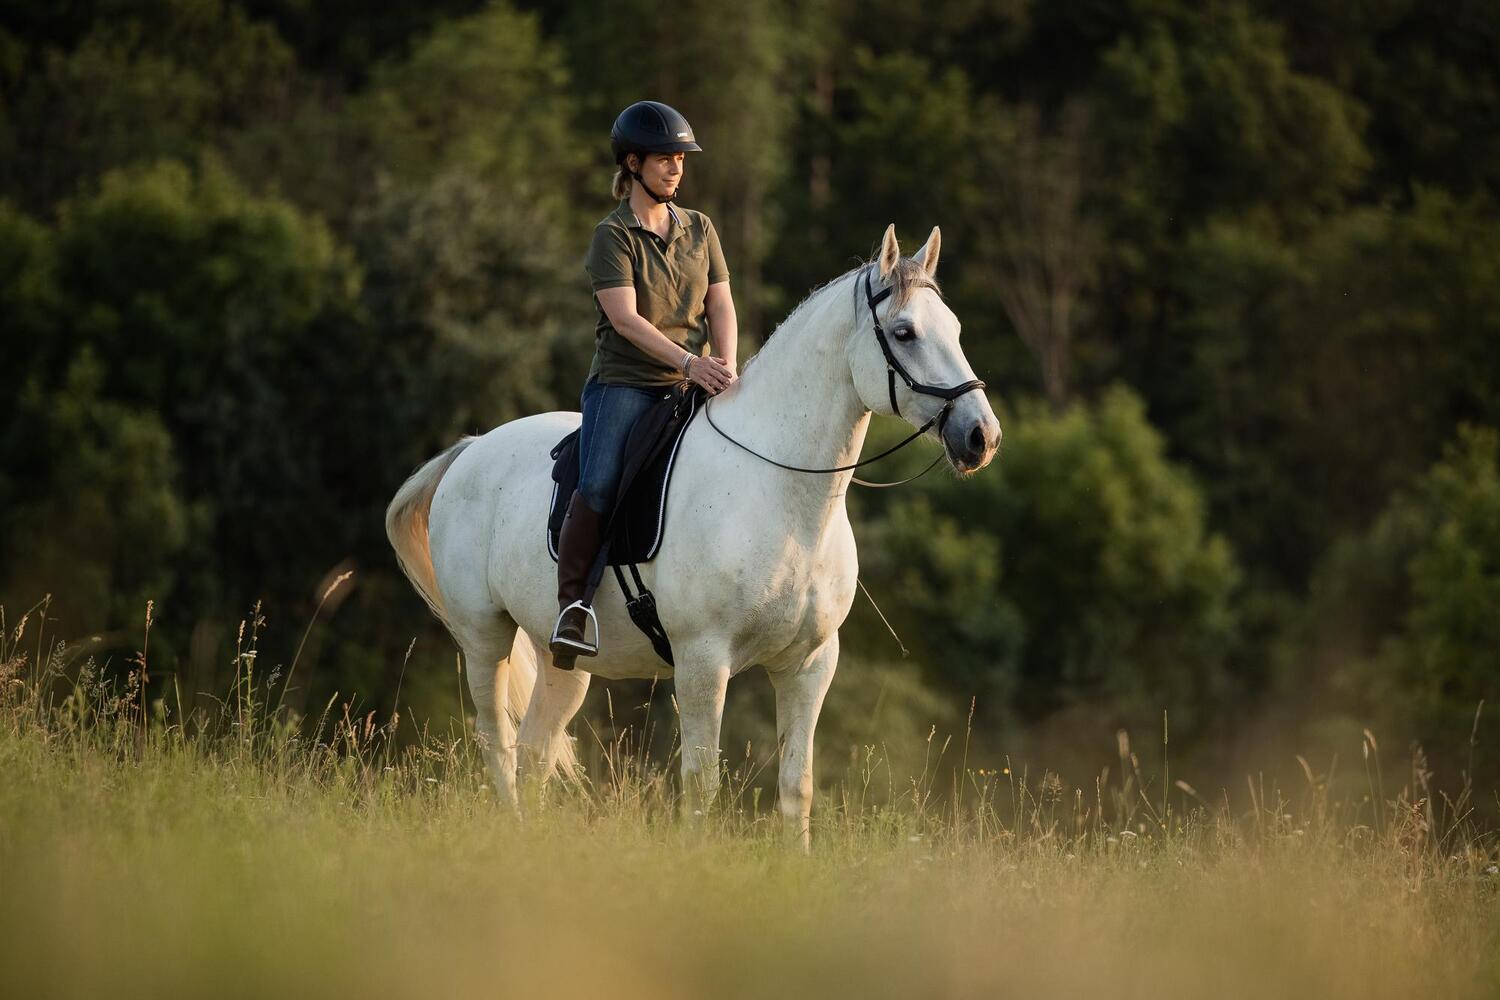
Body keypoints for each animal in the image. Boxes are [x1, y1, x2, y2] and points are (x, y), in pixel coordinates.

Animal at [384, 224, 996, 845]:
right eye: (904, 332)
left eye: (956, 329)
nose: (982, 437)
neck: (779, 492)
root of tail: (471, 449)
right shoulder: (704, 660)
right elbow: (702, 785)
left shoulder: (810, 665)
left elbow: (796, 787)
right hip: (485, 636)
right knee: (498, 744)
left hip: (561, 659)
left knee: (533, 750)